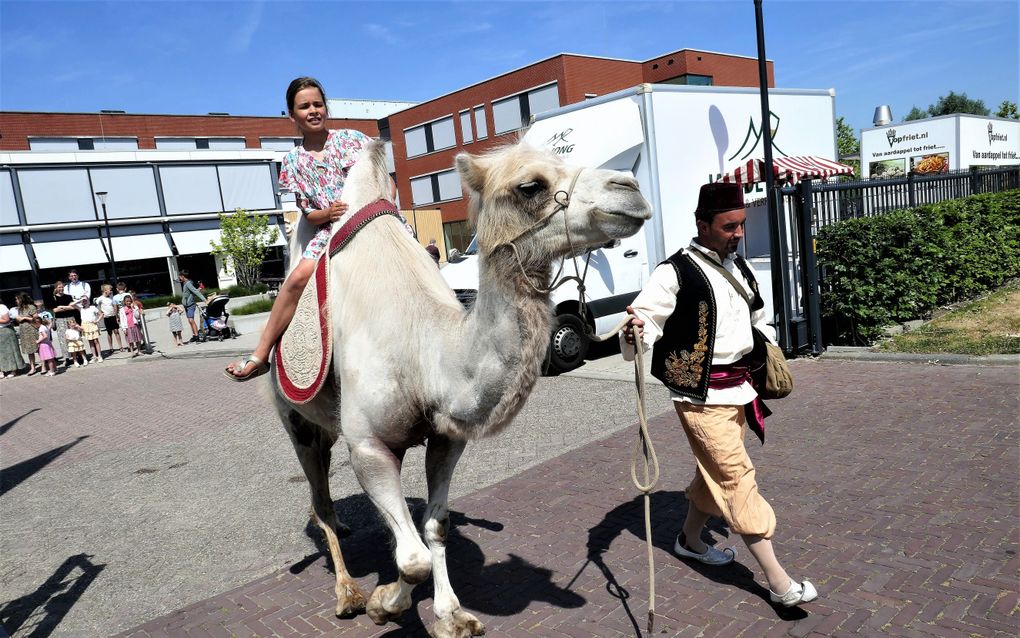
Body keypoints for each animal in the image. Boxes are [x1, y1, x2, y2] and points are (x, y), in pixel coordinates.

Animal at [271, 136, 648, 632]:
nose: (630, 188)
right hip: (295, 422)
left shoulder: (448, 438)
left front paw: (451, 614)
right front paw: (383, 603)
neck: (425, 353)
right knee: (323, 504)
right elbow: (412, 559)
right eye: (530, 185)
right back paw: (348, 593)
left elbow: (436, 527)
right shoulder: (368, 446)